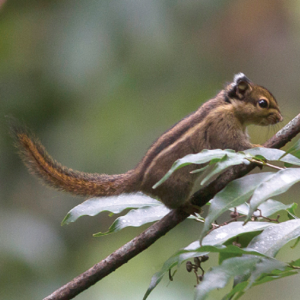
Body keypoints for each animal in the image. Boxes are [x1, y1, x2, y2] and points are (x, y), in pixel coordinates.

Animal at [11, 74, 284, 210]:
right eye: (262, 103)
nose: (281, 118)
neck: (228, 106)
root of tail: (139, 176)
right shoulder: (223, 127)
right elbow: (237, 146)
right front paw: (259, 150)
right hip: (178, 184)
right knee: (172, 204)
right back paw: (186, 207)